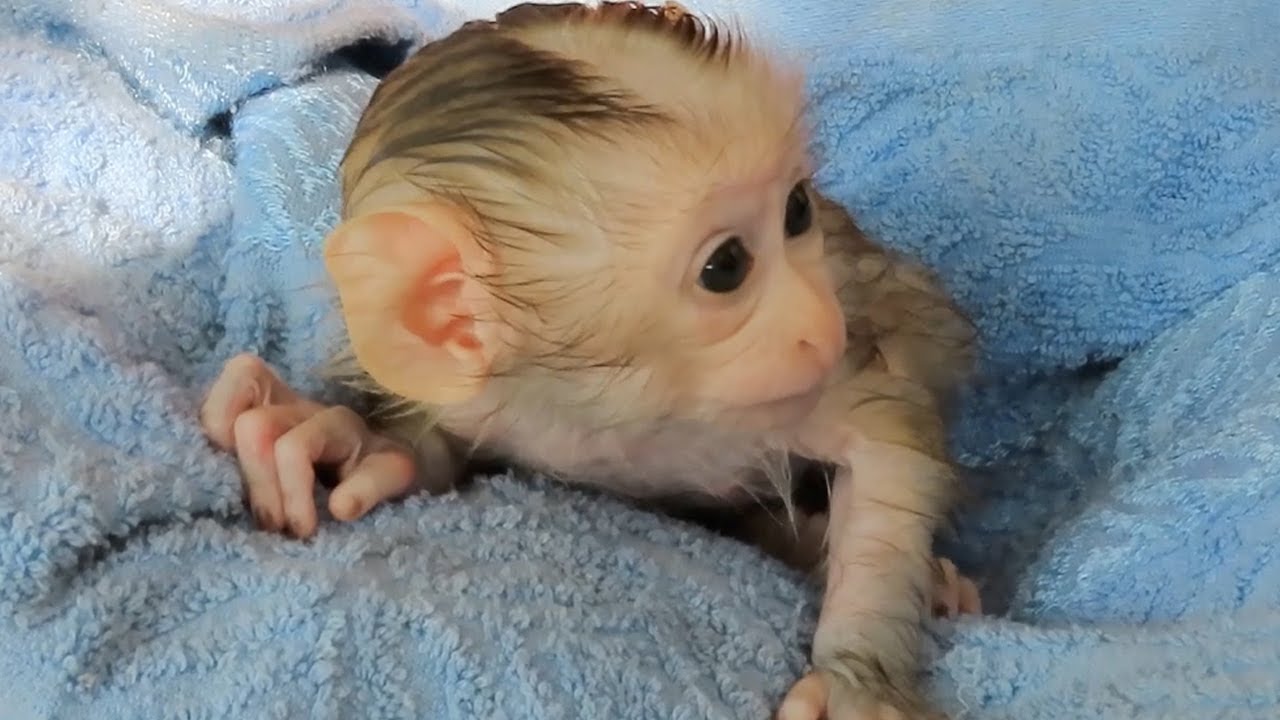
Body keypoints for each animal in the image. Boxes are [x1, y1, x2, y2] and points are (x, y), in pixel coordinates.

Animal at [199, 3, 982, 718]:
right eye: (726, 266)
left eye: (797, 211)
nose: (822, 325)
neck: (608, 401)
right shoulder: (488, 396)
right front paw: (352, 443)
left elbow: (885, 445)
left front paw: (858, 680)